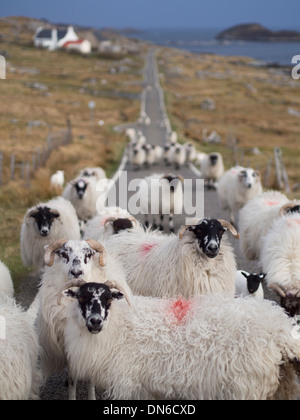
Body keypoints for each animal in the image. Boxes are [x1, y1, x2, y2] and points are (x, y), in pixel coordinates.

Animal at [35, 238, 120, 398]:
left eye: (89, 254)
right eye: (63, 253)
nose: (76, 272)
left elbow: (91, 376)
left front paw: (92, 396)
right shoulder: (66, 345)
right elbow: (72, 378)